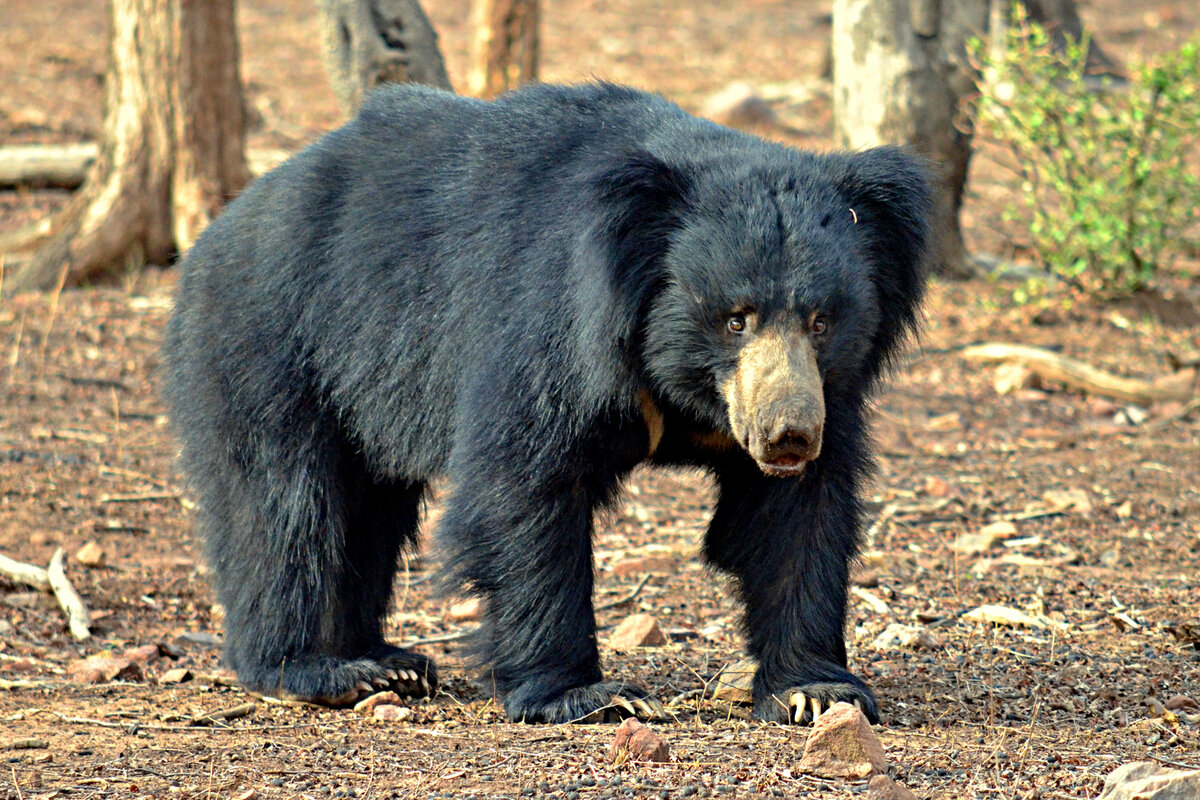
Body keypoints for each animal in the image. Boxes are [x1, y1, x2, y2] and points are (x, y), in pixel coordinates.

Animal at [159, 81, 931, 724]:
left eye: (822, 321)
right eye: (735, 319)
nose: (787, 435)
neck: (680, 387)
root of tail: (220, 227)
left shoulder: (824, 393)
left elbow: (795, 517)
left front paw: (815, 690)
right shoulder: (550, 325)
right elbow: (523, 487)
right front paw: (588, 695)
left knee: (366, 510)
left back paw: (386, 664)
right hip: (272, 341)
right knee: (286, 506)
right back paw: (321, 669)